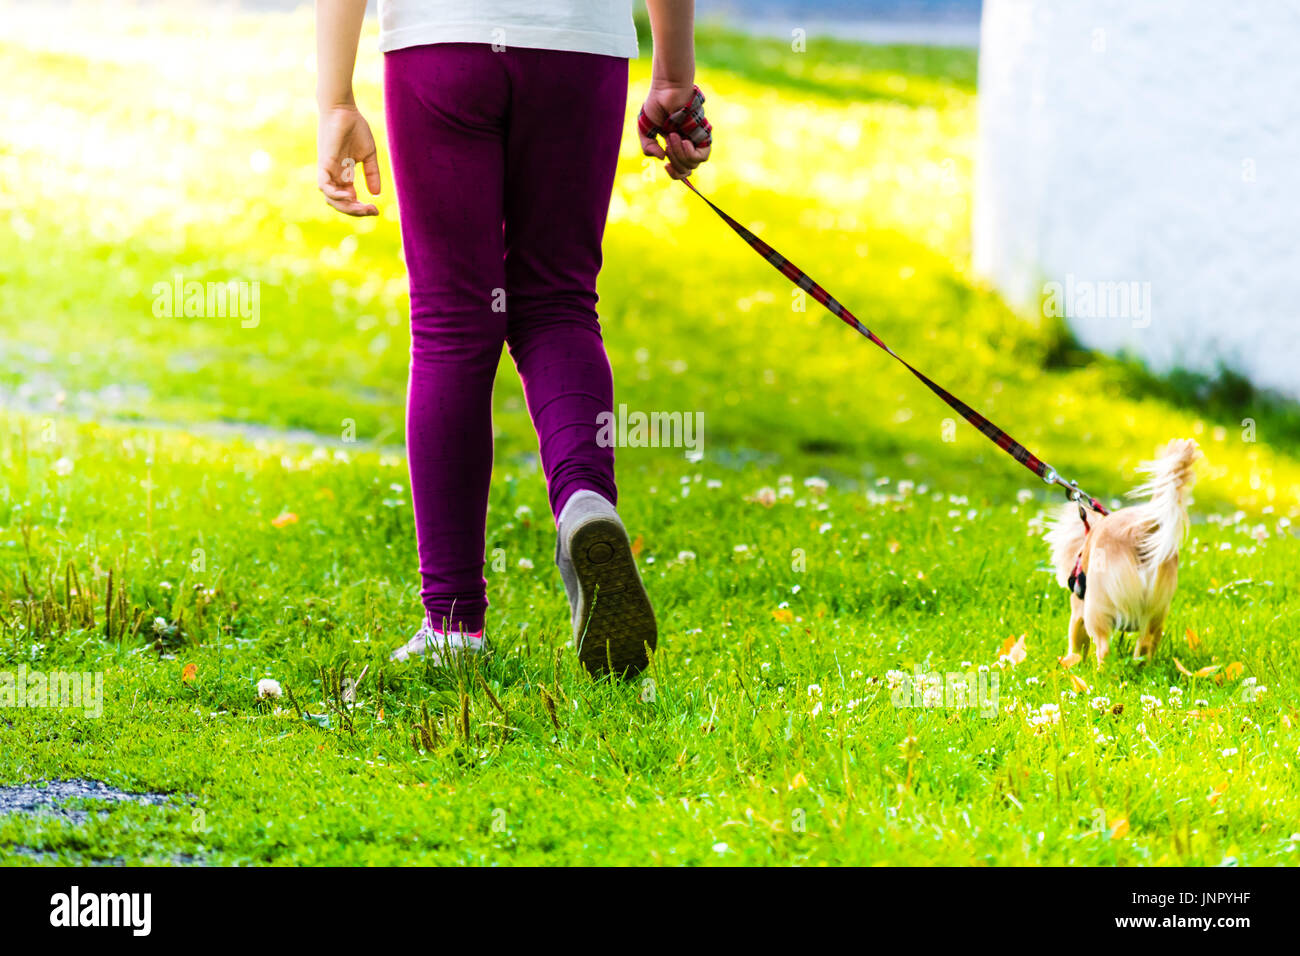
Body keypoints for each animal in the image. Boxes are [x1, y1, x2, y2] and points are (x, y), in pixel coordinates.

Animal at [1045, 442, 1196, 665]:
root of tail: (1141, 529)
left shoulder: (1078, 613)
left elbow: (1076, 644)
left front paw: (1072, 663)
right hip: (1156, 613)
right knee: (1145, 646)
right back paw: (1143, 667)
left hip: (1096, 610)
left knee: (1104, 648)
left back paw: (1100, 671)